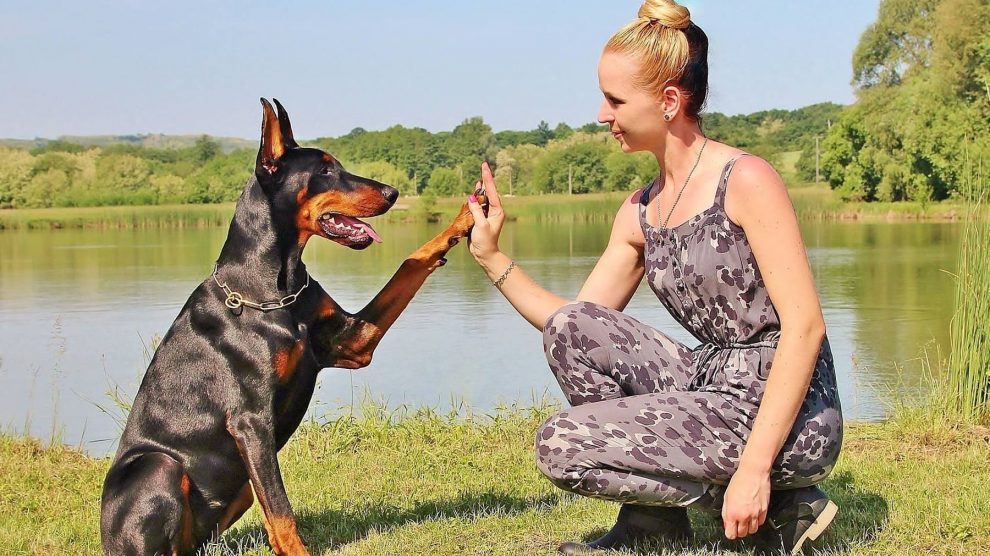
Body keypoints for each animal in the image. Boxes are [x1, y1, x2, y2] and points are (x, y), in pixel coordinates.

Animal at [102, 100, 482, 556]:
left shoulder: (353, 342)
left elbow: (411, 262)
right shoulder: (250, 422)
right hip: (159, 466)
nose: (392, 193)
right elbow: (282, 513)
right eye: (325, 170)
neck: (274, 289)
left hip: (238, 492)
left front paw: (464, 217)